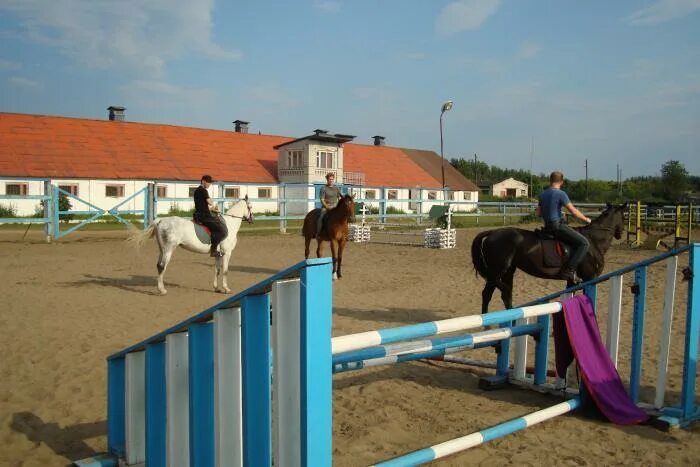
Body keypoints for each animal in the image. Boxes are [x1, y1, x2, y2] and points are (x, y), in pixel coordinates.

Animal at [470, 205, 628, 314]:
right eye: (625, 217)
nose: (620, 234)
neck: (593, 241)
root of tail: (492, 233)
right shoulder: (589, 278)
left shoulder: (572, 281)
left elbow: (569, 297)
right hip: (499, 270)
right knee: (497, 290)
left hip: (507, 271)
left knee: (490, 294)